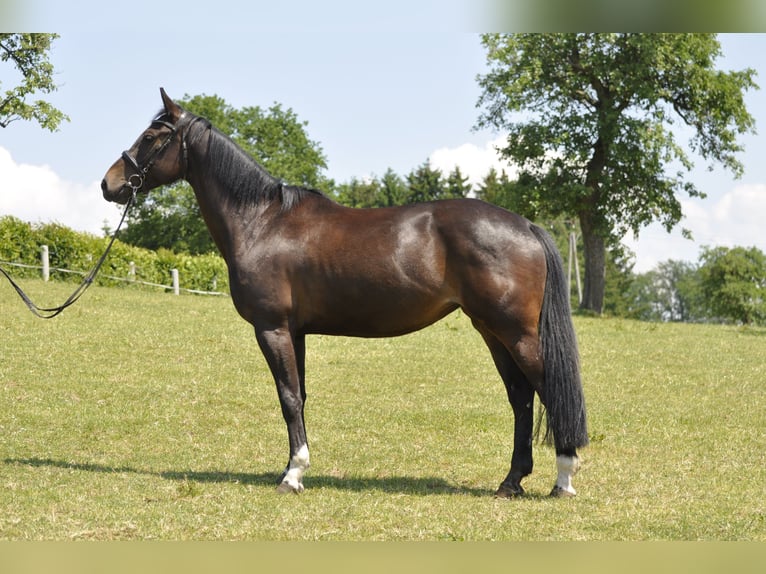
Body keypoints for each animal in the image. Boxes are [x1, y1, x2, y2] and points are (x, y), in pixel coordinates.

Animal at [101, 88, 588, 498]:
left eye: (150, 137)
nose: (110, 184)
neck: (261, 222)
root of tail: (526, 225)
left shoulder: (272, 328)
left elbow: (288, 398)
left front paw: (292, 475)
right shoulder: (295, 332)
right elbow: (299, 396)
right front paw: (295, 468)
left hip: (517, 333)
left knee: (548, 390)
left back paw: (563, 479)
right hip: (492, 330)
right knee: (521, 397)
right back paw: (511, 481)